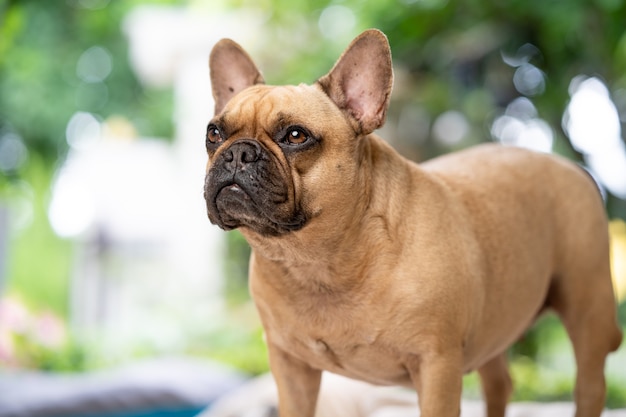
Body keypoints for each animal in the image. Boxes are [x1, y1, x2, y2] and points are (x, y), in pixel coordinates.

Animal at [204, 29, 620, 416]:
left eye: (295, 135)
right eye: (214, 133)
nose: (237, 152)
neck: (318, 260)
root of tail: (571, 167)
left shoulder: (436, 365)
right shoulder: (291, 368)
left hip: (587, 311)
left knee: (588, 385)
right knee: (499, 383)